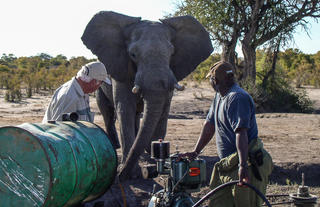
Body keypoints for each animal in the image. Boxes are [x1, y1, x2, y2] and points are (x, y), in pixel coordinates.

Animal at [81, 10, 212, 181]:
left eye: (172, 53)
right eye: (133, 54)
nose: (120, 175)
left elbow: (164, 108)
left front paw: (154, 153)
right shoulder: (121, 67)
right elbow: (124, 107)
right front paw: (131, 171)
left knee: (137, 115)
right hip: (100, 87)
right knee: (108, 113)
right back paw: (116, 145)